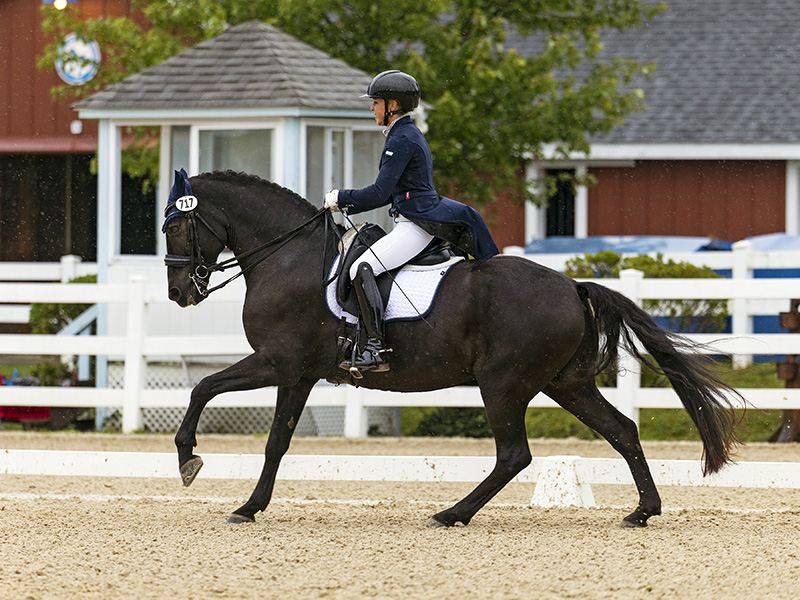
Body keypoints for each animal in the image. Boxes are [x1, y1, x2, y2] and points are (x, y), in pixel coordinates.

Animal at [164, 170, 740, 528]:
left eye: (174, 226)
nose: (178, 293)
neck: (288, 256)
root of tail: (571, 286)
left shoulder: (276, 361)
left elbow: (203, 387)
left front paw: (189, 459)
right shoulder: (298, 373)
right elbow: (276, 443)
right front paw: (249, 506)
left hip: (503, 383)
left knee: (514, 454)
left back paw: (451, 514)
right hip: (566, 382)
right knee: (621, 430)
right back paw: (643, 511)